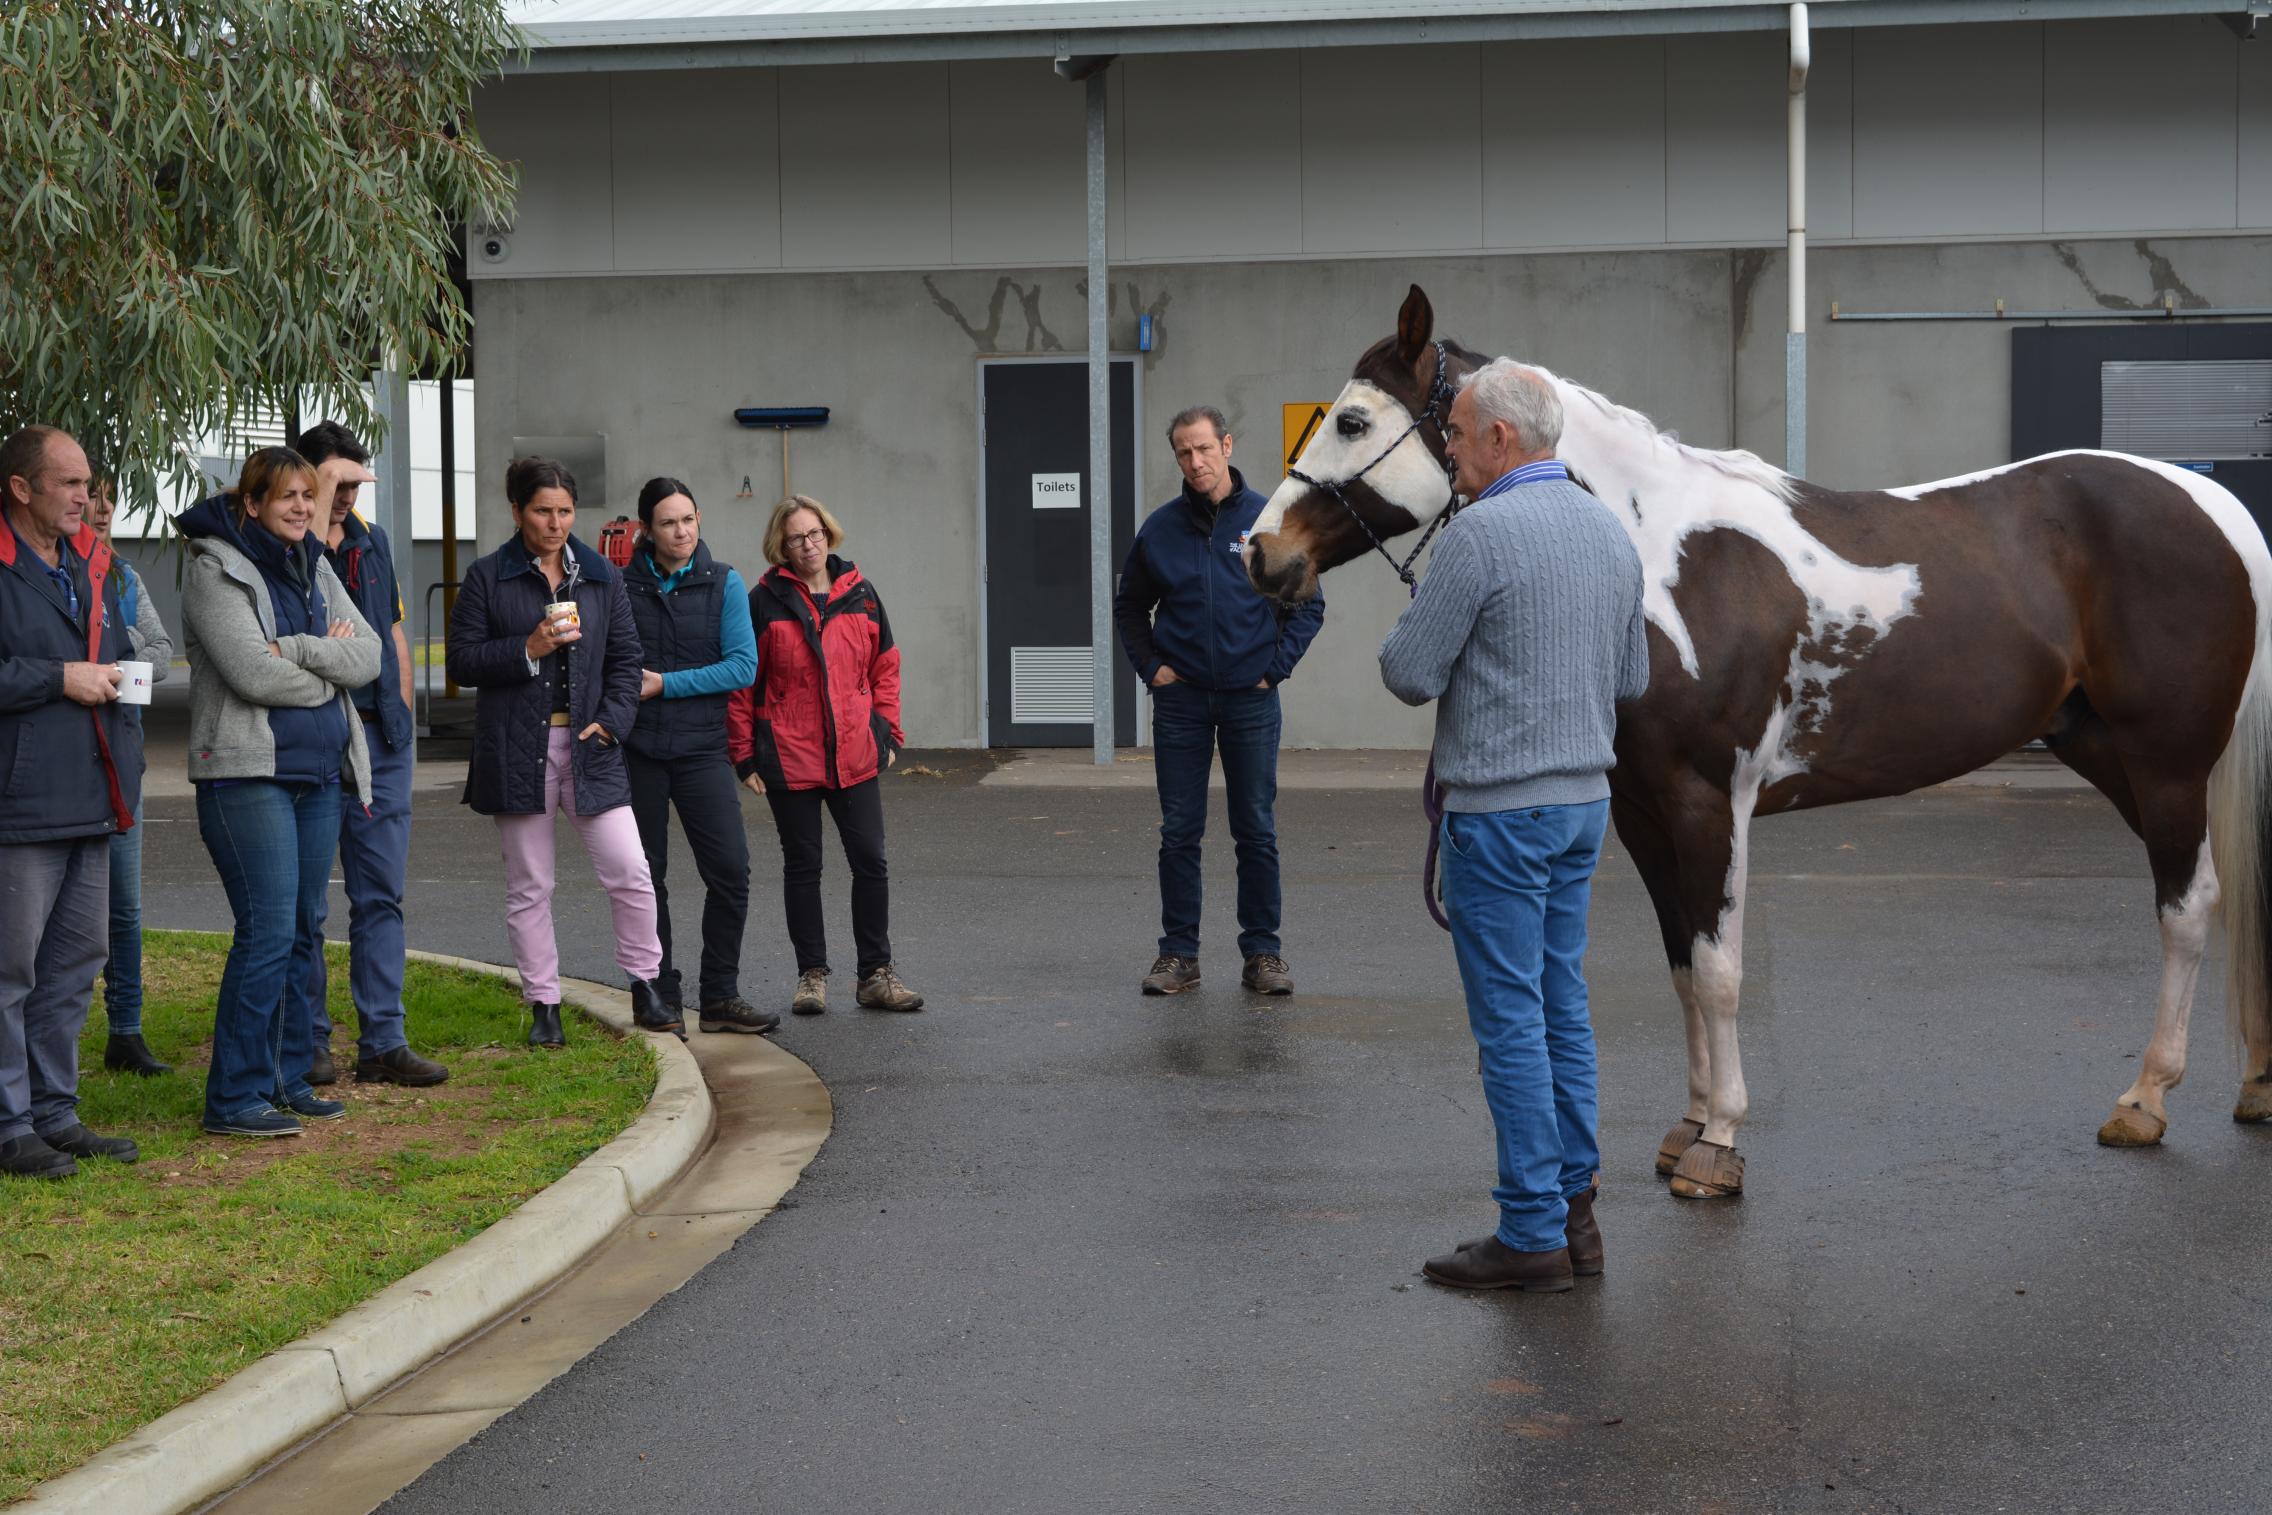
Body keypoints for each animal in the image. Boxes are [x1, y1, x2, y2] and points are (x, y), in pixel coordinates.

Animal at [1245, 287, 2272, 1199]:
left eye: (1350, 421)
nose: (1260, 554)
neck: (1654, 555)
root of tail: (2211, 503)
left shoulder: (1711, 802)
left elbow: (1720, 970)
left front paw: (1721, 1143)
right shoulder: (1641, 812)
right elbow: (1679, 967)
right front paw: (1690, 1121)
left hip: (2166, 761)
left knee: (2189, 907)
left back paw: (2145, 1098)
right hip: (2104, 750)